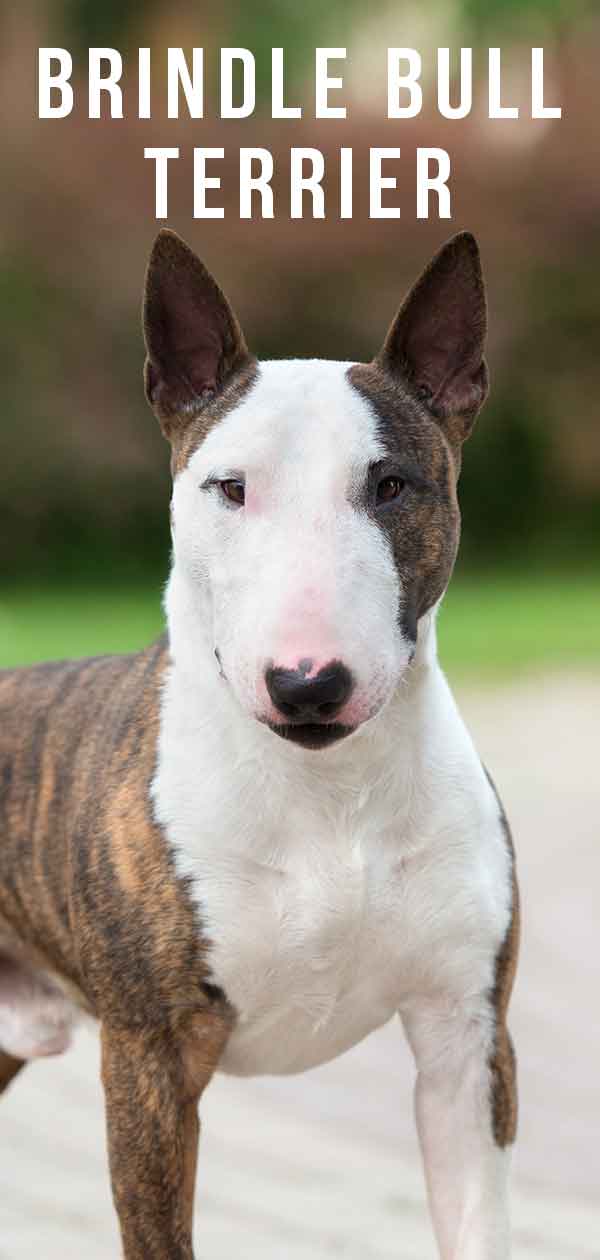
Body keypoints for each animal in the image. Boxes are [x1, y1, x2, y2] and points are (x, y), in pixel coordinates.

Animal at [0, 229, 516, 1260]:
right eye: (229, 488)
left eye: (391, 484)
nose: (308, 684)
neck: (328, 796)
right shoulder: (150, 1062)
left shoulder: (468, 1041)